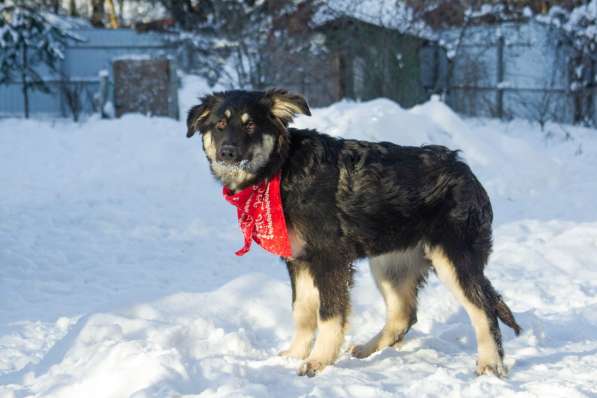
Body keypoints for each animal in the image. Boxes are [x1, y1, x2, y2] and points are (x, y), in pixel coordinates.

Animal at [186, 88, 516, 378]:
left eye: (251, 124)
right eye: (219, 125)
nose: (227, 152)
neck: (281, 171)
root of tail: (466, 171)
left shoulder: (330, 258)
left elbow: (329, 314)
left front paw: (318, 361)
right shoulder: (300, 260)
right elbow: (302, 312)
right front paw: (294, 354)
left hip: (453, 259)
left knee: (484, 309)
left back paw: (491, 365)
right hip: (390, 263)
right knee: (403, 315)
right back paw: (367, 350)